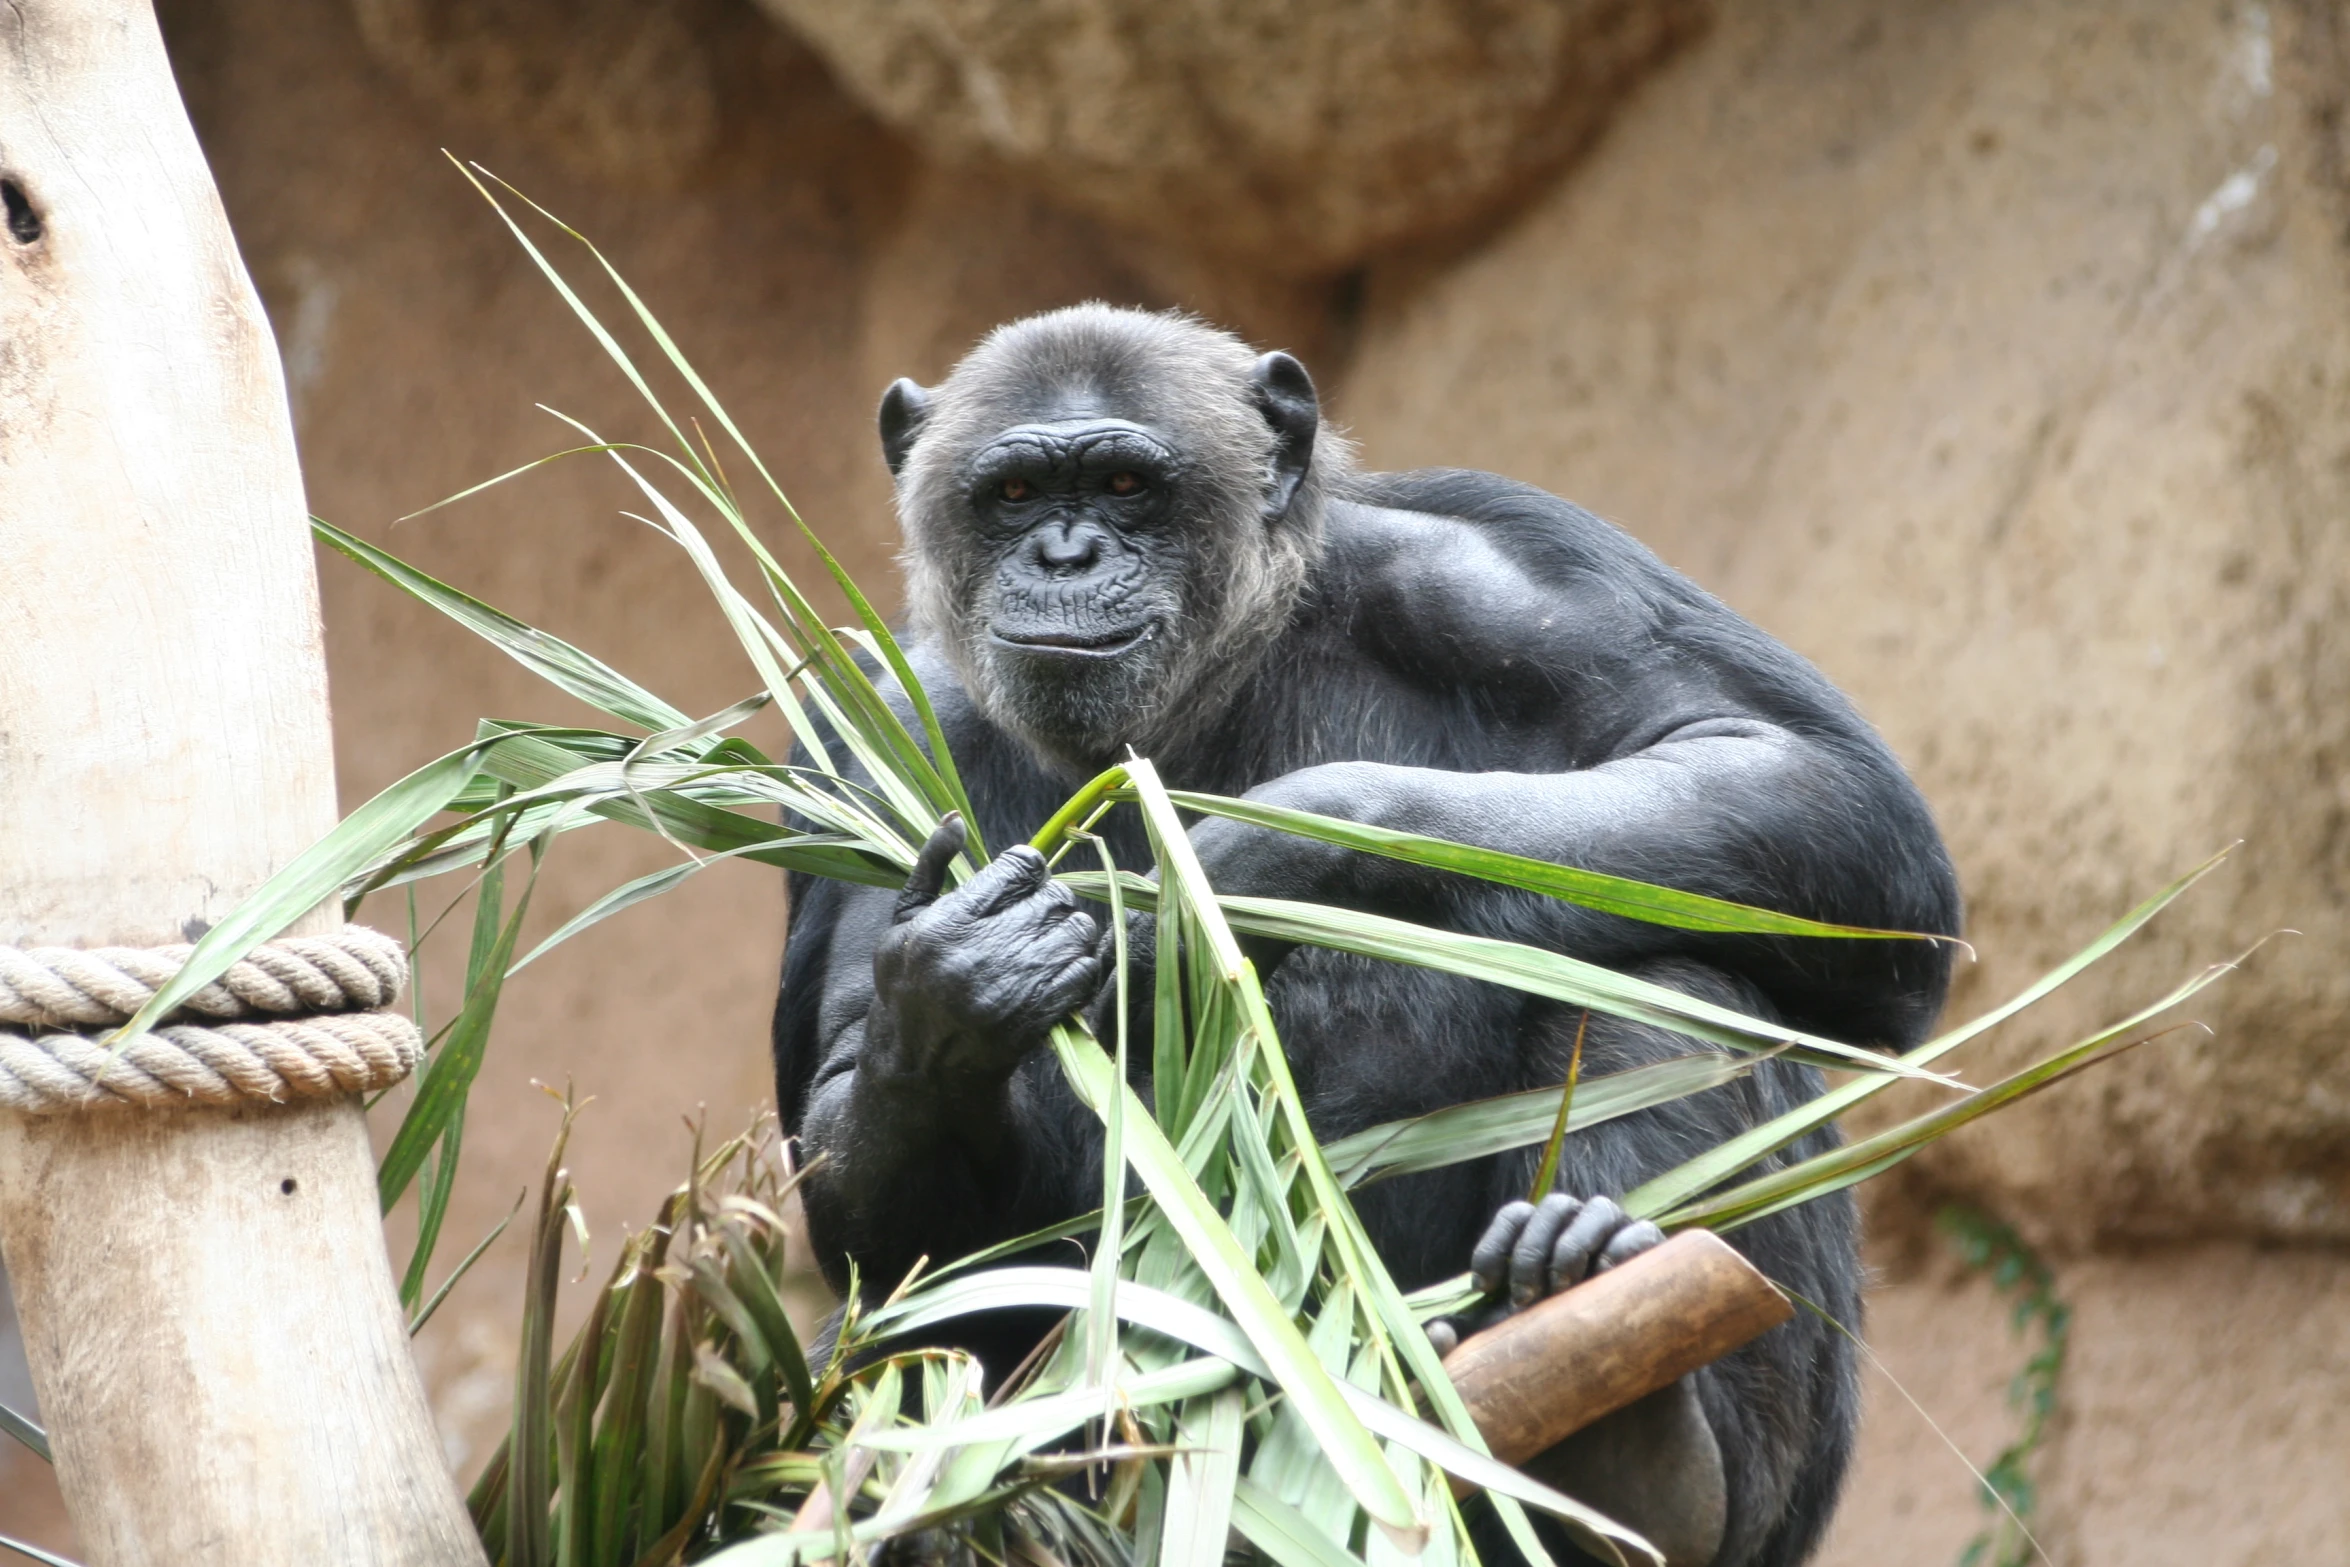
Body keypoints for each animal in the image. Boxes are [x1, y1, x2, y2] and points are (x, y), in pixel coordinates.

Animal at [775, 305, 1964, 1567]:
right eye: (1010, 494)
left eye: (1125, 482)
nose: (1065, 555)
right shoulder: (877, 722)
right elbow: (871, 1173)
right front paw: (954, 986)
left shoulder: (1507, 577)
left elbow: (1809, 782)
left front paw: (1249, 857)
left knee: (1673, 974)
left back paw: (1646, 1447)